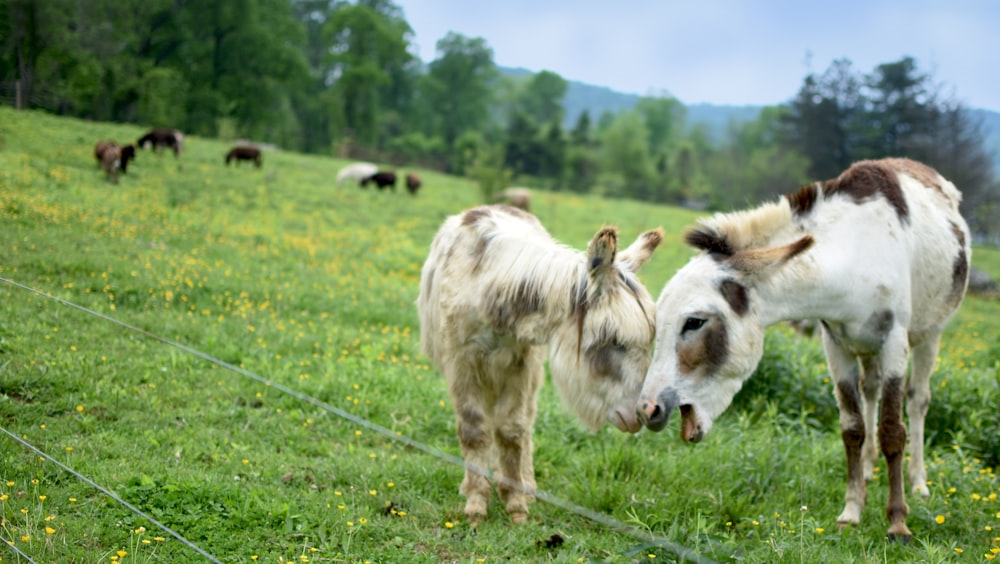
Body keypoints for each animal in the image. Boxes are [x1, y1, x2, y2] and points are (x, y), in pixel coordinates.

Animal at [418, 204, 668, 524]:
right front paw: (476, 504)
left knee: (524, 422)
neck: (488, 287)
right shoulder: (461, 360)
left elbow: (512, 429)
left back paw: (523, 485)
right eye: (612, 339)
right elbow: (474, 430)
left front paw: (515, 503)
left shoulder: (519, 361)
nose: (644, 413)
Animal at [636, 158, 972, 540]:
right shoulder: (836, 344)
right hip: (865, 347)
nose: (647, 410)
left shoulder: (893, 342)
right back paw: (869, 468)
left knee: (918, 401)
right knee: (870, 391)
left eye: (694, 323)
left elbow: (892, 430)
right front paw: (852, 510)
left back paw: (918, 482)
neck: (852, 254)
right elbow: (852, 428)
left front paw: (898, 522)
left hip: (929, 335)